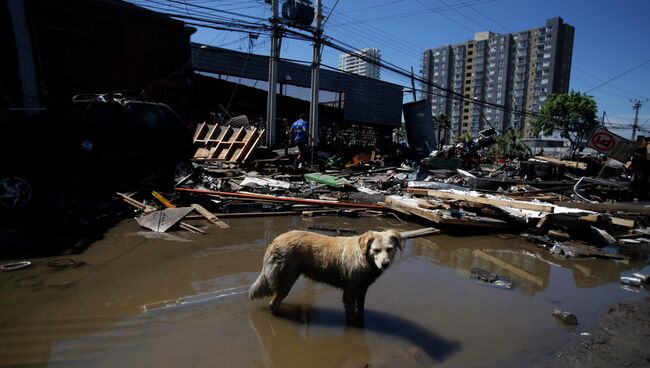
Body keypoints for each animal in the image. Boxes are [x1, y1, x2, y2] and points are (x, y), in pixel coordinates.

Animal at [248, 230, 400, 324]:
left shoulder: (363, 288)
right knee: (273, 303)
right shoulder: (350, 290)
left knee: (276, 299)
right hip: (286, 280)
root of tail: (274, 241)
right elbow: (351, 314)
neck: (363, 257)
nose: (385, 264)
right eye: (376, 250)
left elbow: (360, 307)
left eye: (389, 249)